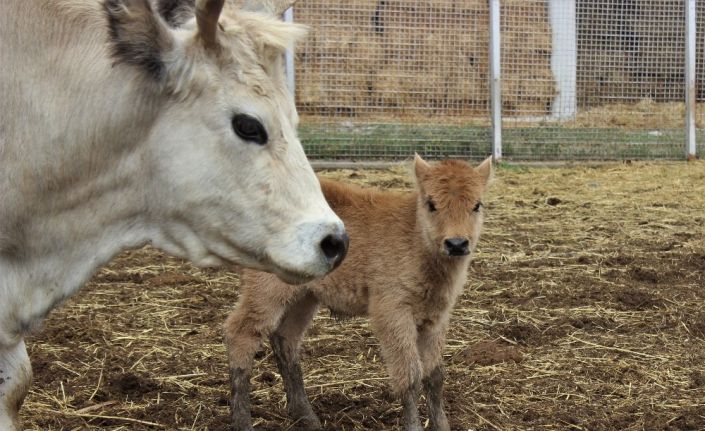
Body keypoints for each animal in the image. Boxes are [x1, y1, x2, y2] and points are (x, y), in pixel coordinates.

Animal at [224, 156, 490, 431]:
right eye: (431, 204)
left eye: (477, 205)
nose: (457, 244)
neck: (414, 237)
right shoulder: (392, 313)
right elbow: (410, 377)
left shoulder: (436, 317)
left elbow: (435, 375)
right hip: (266, 289)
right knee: (241, 333)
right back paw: (243, 421)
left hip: (305, 297)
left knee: (285, 339)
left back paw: (307, 417)